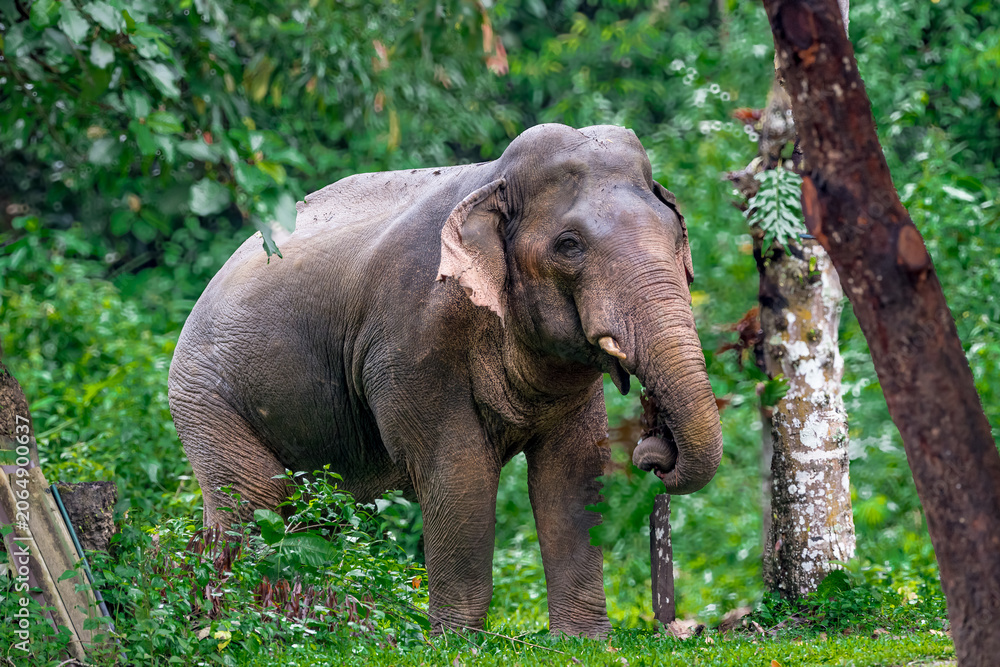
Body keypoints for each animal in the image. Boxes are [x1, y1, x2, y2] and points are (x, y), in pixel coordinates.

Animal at [167, 123, 723, 638]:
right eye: (569, 245)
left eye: (676, 235)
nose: (654, 451)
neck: (494, 178)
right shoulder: (413, 339)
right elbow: (457, 469)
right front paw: (456, 642)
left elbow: (573, 471)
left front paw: (583, 642)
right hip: (203, 397)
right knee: (253, 503)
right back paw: (240, 626)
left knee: (315, 516)